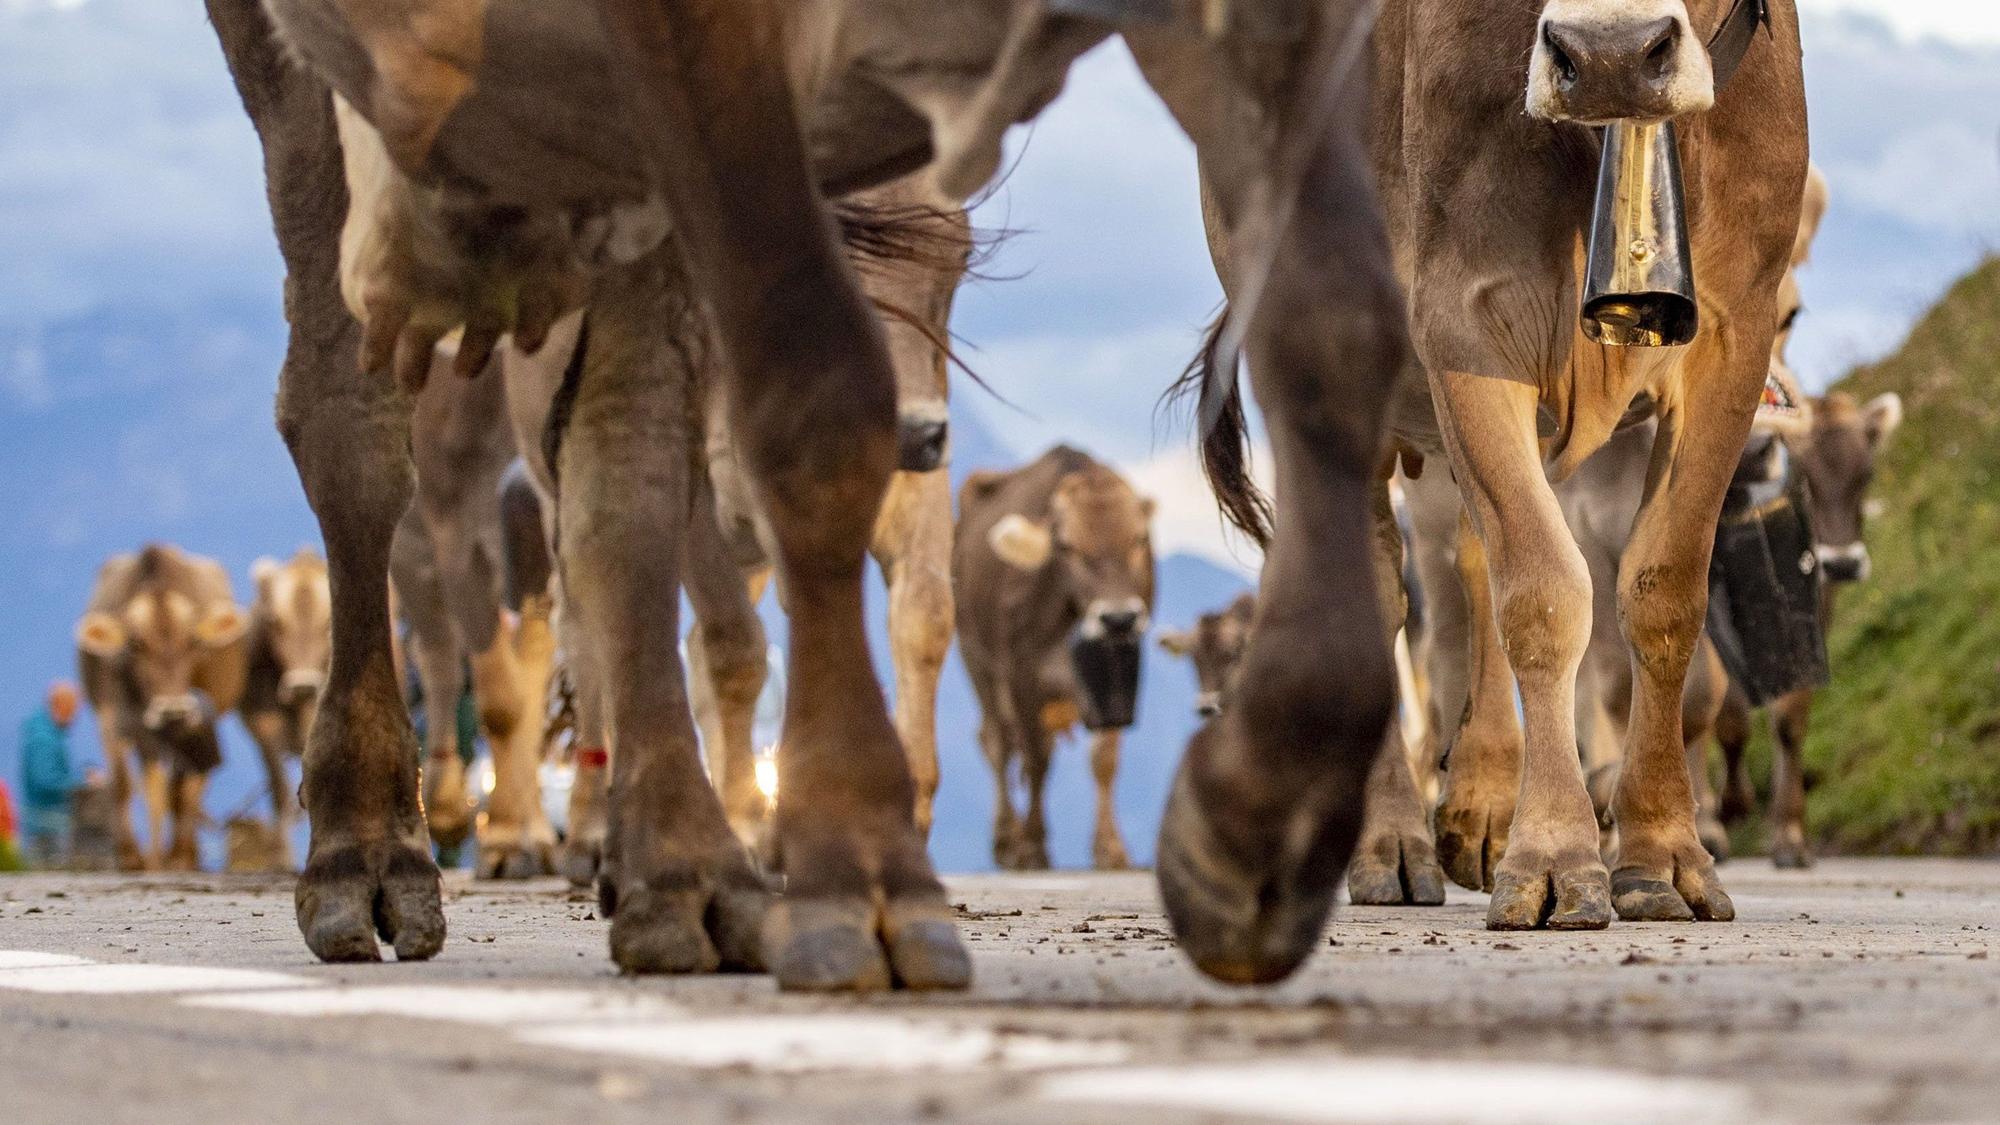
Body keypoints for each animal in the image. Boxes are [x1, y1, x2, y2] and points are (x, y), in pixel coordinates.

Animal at [75, 544, 249, 870]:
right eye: (135, 644)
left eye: (193, 642)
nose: (173, 709)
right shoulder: (115, 718)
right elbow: (130, 786)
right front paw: (137, 858)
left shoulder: (199, 726)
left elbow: (182, 791)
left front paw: (176, 857)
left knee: (187, 789)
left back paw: (184, 855)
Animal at [237, 547, 333, 868]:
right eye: (275, 622)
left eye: (328, 622)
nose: (301, 684)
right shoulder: (263, 724)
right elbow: (279, 787)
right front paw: (282, 858)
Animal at [955, 447, 1156, 871]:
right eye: (1066, 545)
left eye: (1138, 539)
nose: (1118, 618)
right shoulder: (1021, 675)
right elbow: (1036, 759)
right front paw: (1033, 848)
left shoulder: (1117, 678)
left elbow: (1104, 758)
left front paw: (1111, 850)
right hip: (975, 660)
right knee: (996, 740)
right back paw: (1008, 842)